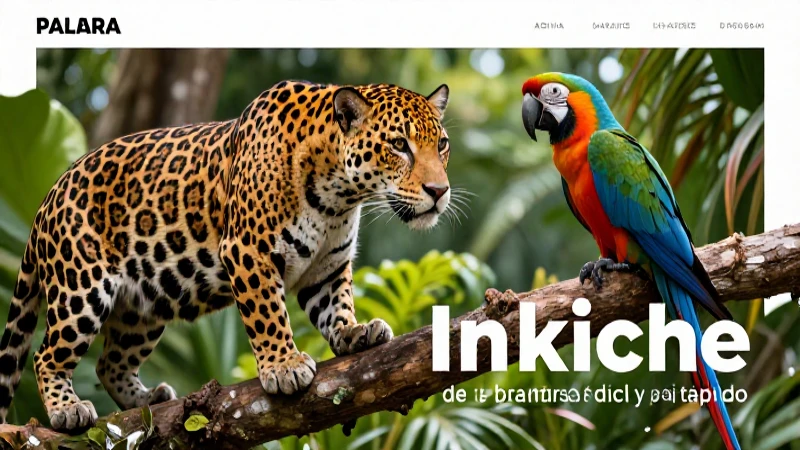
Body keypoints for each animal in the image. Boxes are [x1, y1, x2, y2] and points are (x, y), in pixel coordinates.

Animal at [0, 80, 452, 431]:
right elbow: (268, 313)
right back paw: (68, 410)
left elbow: (337, 306)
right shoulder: (247, 250)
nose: (439, 191)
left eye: (442, 145)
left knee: (109, 363)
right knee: (45, 355)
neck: (338, 197)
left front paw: (355, 333)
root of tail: (46, 201)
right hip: (81, 289)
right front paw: (283, 366)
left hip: (142, 309)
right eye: (399, 145)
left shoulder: (328, 265)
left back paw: (149, 400)